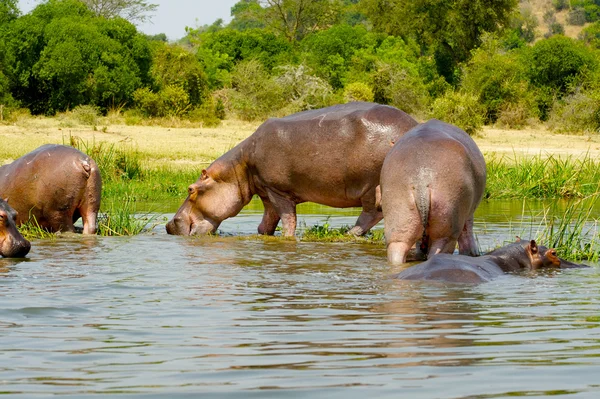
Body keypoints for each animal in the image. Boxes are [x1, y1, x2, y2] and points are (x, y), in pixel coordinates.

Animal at [164, 101, 418, 238]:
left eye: (191, 189)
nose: (169, 224)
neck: (238, 167)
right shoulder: (266, 191)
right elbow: (266, 222)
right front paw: (263, 234)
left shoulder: (278, 191)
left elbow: (288, 218)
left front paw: (287, 237)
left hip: (370, 185)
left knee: (373, 212)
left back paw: (348, 233)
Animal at [380, 120, 488, 268]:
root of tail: (420, 181)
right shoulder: (468, 214)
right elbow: (468, 231)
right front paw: (472, 253)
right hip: (446, 231)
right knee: (438, 251)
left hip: (398, 223)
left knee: (397, 251)